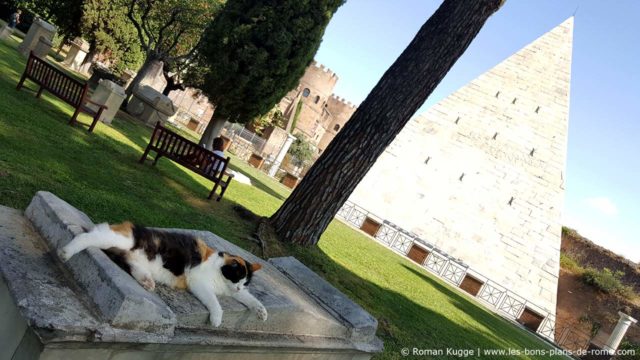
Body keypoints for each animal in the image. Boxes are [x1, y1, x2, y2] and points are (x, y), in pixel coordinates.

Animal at [58, 221, 268, 328]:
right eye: (237, 276)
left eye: (245, 283)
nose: (239, 286)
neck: (219, 273)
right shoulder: (198, 282)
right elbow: (215, 302)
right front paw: (216, 319)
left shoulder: (231, 291)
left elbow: (251, 299)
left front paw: (262, 312)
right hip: (118, 239)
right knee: (86, 236)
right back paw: (66, 252)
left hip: (131, 256)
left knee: (132, 264)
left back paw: (147, 281)